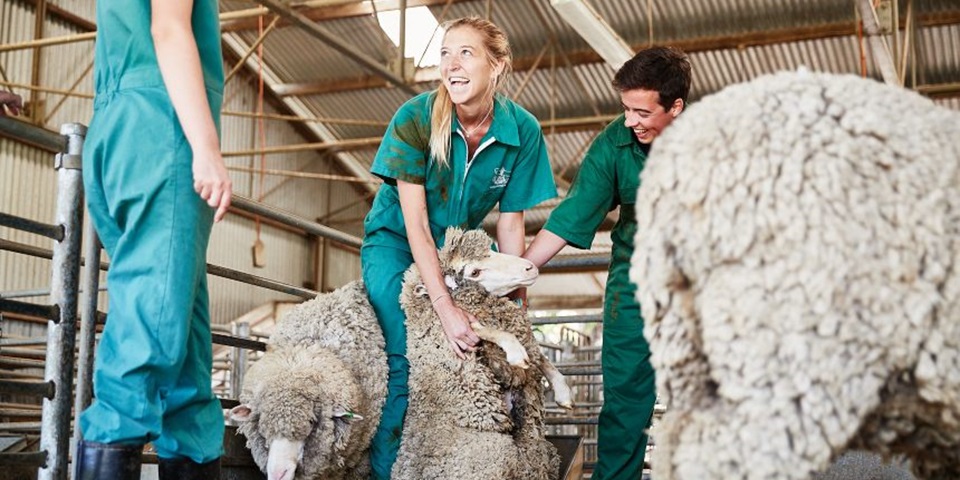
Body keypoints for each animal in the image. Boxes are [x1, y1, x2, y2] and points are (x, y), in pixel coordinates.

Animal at [390, 228, 568, 480]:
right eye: (474, 272)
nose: (530, 267)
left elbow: (539, 357)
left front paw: (563, 391)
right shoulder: (464, 324)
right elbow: (489, 331)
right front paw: (516, 352)